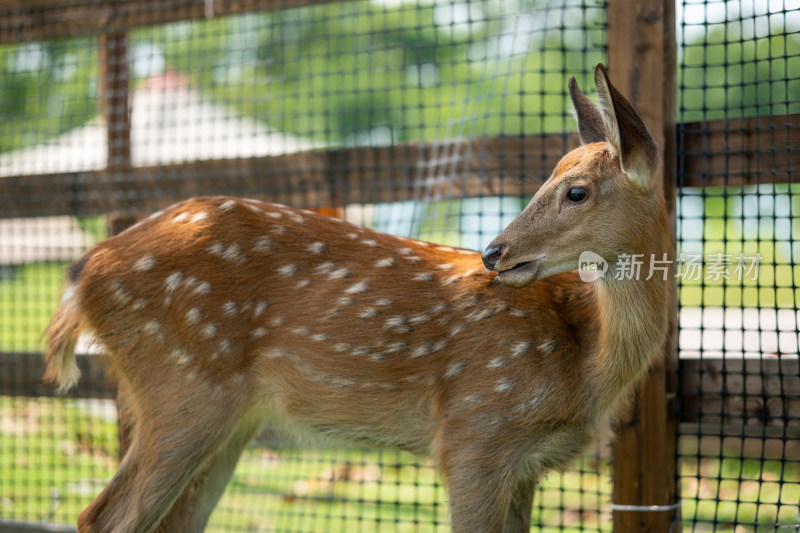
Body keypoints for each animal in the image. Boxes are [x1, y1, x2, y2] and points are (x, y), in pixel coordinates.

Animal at [42, 63, 668, 532]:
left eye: (576, 191)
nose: (494, 252)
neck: (586, 362)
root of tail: (82, 275)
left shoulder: (525, 466)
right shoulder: (474, 433)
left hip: (227, 417)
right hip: (182, 388)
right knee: (103, 517)